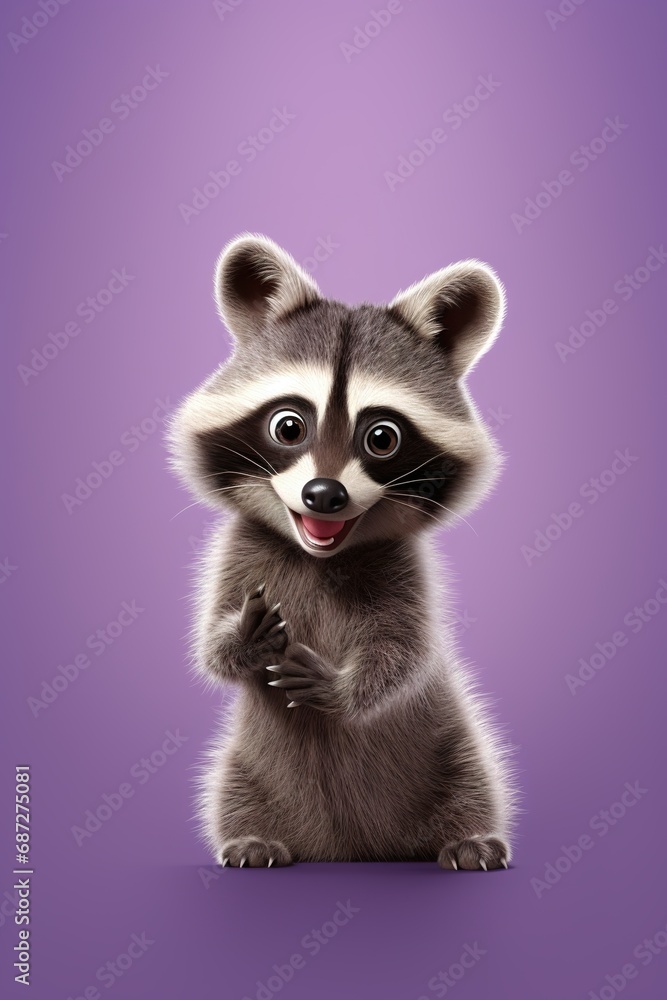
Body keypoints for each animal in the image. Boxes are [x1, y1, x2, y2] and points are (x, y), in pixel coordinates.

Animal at [168, 234, 516, 870]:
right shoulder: (236, 553)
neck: (321, 554)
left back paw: (467, 834)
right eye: (288, 426)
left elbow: (404, 652)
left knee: (471, 776)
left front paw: (343, 687)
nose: (323, 495)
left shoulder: (404, 567)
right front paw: (241, 639)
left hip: (453, 745)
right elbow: (210, 649)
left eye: (382, 437)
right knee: (231, 787)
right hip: (246, 766)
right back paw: (251, 835)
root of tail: (349, 849)